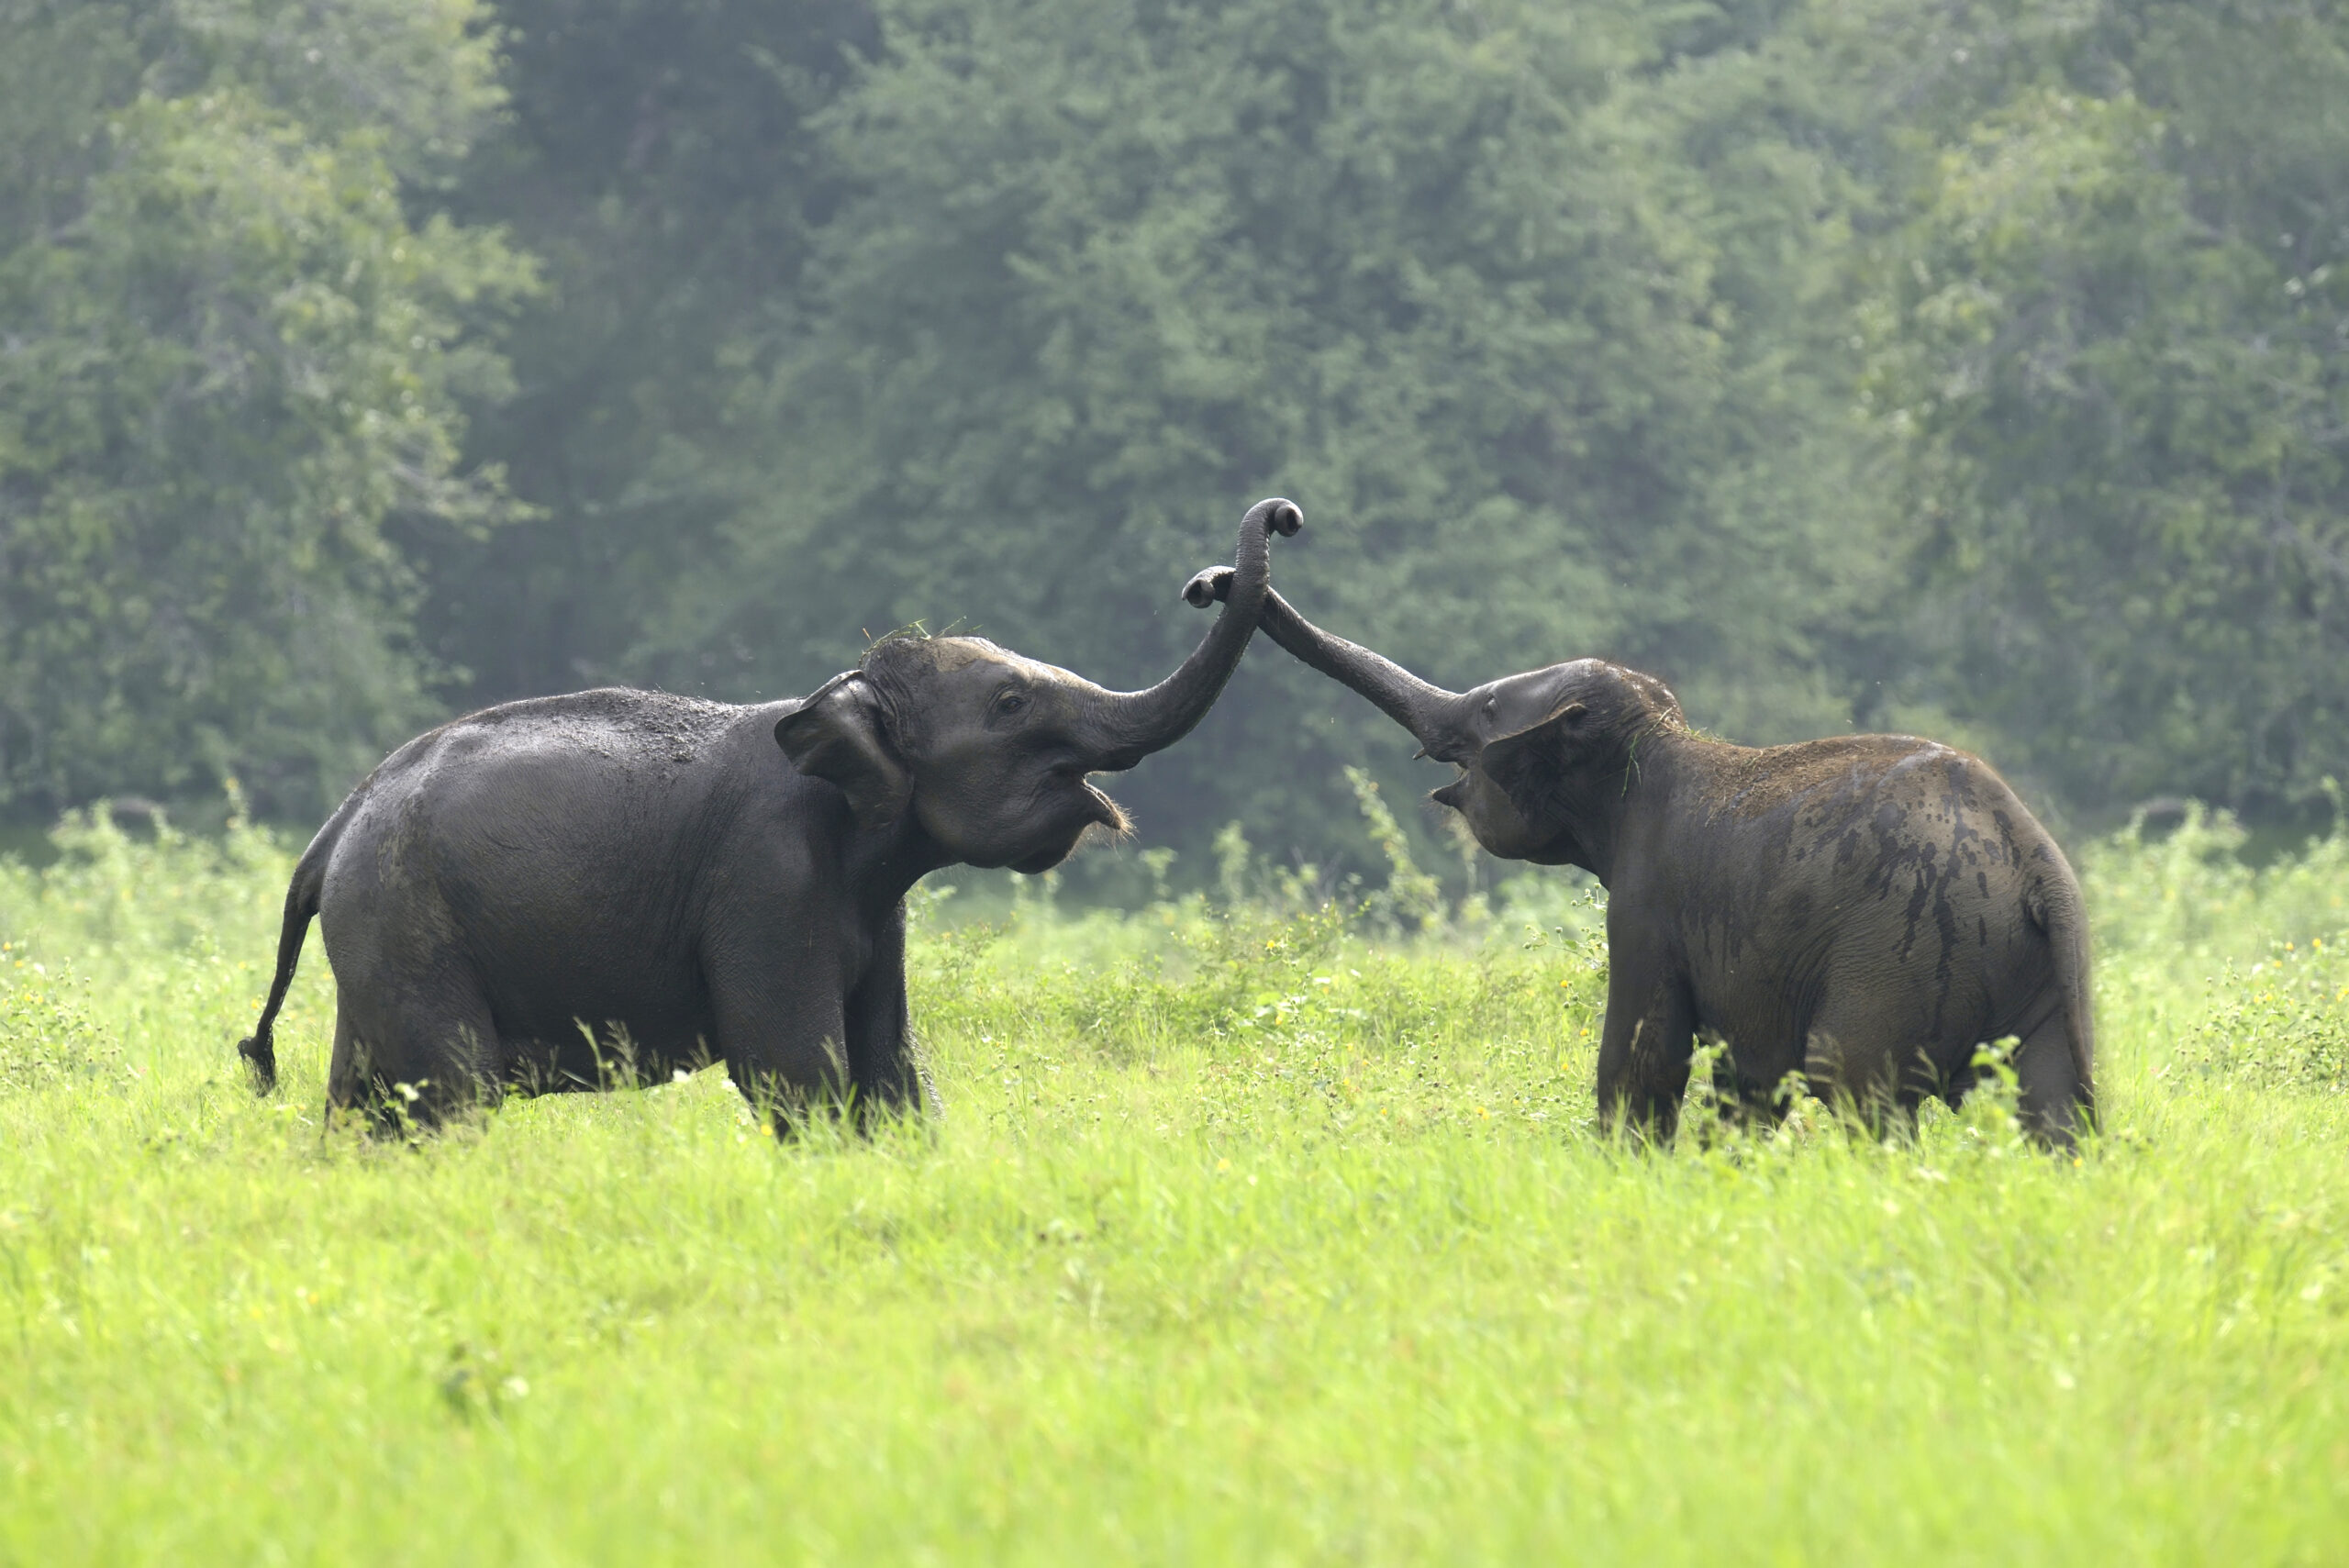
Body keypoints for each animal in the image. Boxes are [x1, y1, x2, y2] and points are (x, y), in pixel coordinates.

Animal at [233, 497, 1303, 1129]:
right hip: (410, 923)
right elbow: (798, 1070)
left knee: (366, 1100)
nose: (1274, 522)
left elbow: (893, 1068)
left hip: (381, 935)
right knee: (445, 1093)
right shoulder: (766, 880)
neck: (830, 700)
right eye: (1009, 704)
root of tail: (333, 832)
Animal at [1184, 566, 2093, 1147]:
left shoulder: (1648, 903)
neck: (1658, 741)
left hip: (1897, 958)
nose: (1210, 581)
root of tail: (2033, 862)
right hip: (2045, 975)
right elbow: (1743, 1081)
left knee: (1857, 1094)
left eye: (1487, 708)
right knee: (2058, 1113)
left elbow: (1643, 1058)